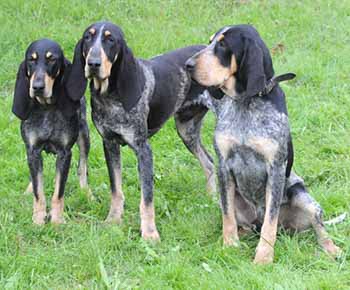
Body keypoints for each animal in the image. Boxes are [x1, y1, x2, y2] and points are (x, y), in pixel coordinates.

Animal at [12, 38, 90, 224]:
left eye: (51, 59)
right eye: (31, 60)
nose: (37, 87)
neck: (46, 108)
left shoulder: (64, 153)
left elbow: (58, 193)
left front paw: (56, 220)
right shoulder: (32, 150)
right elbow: (38, 191)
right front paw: (38, 220)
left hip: (84, 135)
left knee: (82, 167)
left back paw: (86, 192)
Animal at [65, 22, 217, 240]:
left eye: (111, 40)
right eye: (88, 37)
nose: (93, 63)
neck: (110, 97)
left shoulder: (143, 150)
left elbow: (146, 199)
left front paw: (150, 233)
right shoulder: (109, 144)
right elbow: (116, 190)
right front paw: (113, 220)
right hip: (186, 130)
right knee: (210, 163)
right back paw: (212, 198)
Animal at [187, 26, 340, 264]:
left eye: (223, 44)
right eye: (210, 42)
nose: (187, 65)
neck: (245, 103)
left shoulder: (275, 169)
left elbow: (270, 220)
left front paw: (263, 258)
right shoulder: (223, 166)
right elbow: (228, 217)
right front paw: (229, 245)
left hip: (303, 197)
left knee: (316, 225)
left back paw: (332, 249)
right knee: (243, 223)